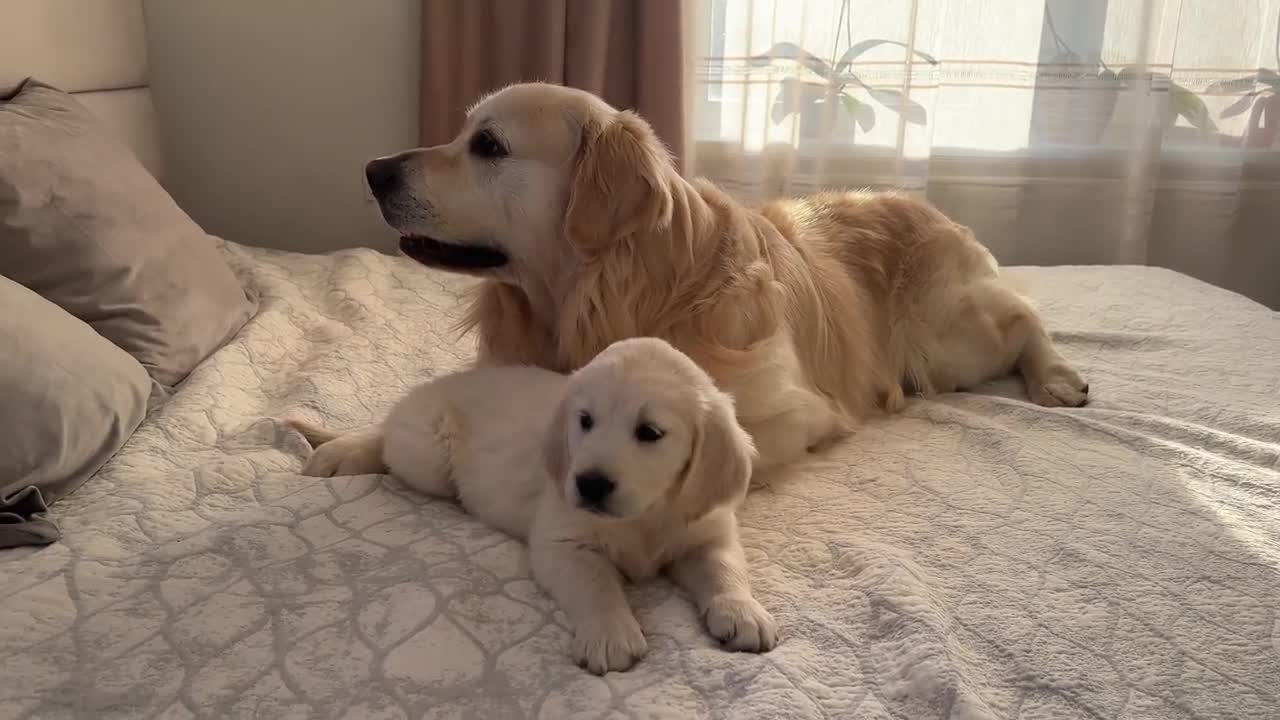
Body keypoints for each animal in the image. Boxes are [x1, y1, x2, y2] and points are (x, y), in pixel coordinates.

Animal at [294, 335, 773, 671]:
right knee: (387, 444)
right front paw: (610, 633)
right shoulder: (563, 542)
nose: (589, 484)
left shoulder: (706, 532)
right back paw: (341, 452)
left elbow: (724, 568)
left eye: (650, 432)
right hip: (427, 453)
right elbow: (595, 584)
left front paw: (742, 612)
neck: (646, 515)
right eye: (585, 421)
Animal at [363, 81, 1090, 468]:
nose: (372, 170)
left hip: (947, 341)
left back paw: (1057, 376)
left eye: (487, 145)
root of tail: (929, 207)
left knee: (1025, 317)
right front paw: (355, 446)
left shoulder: (787, 412)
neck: (614, 296)